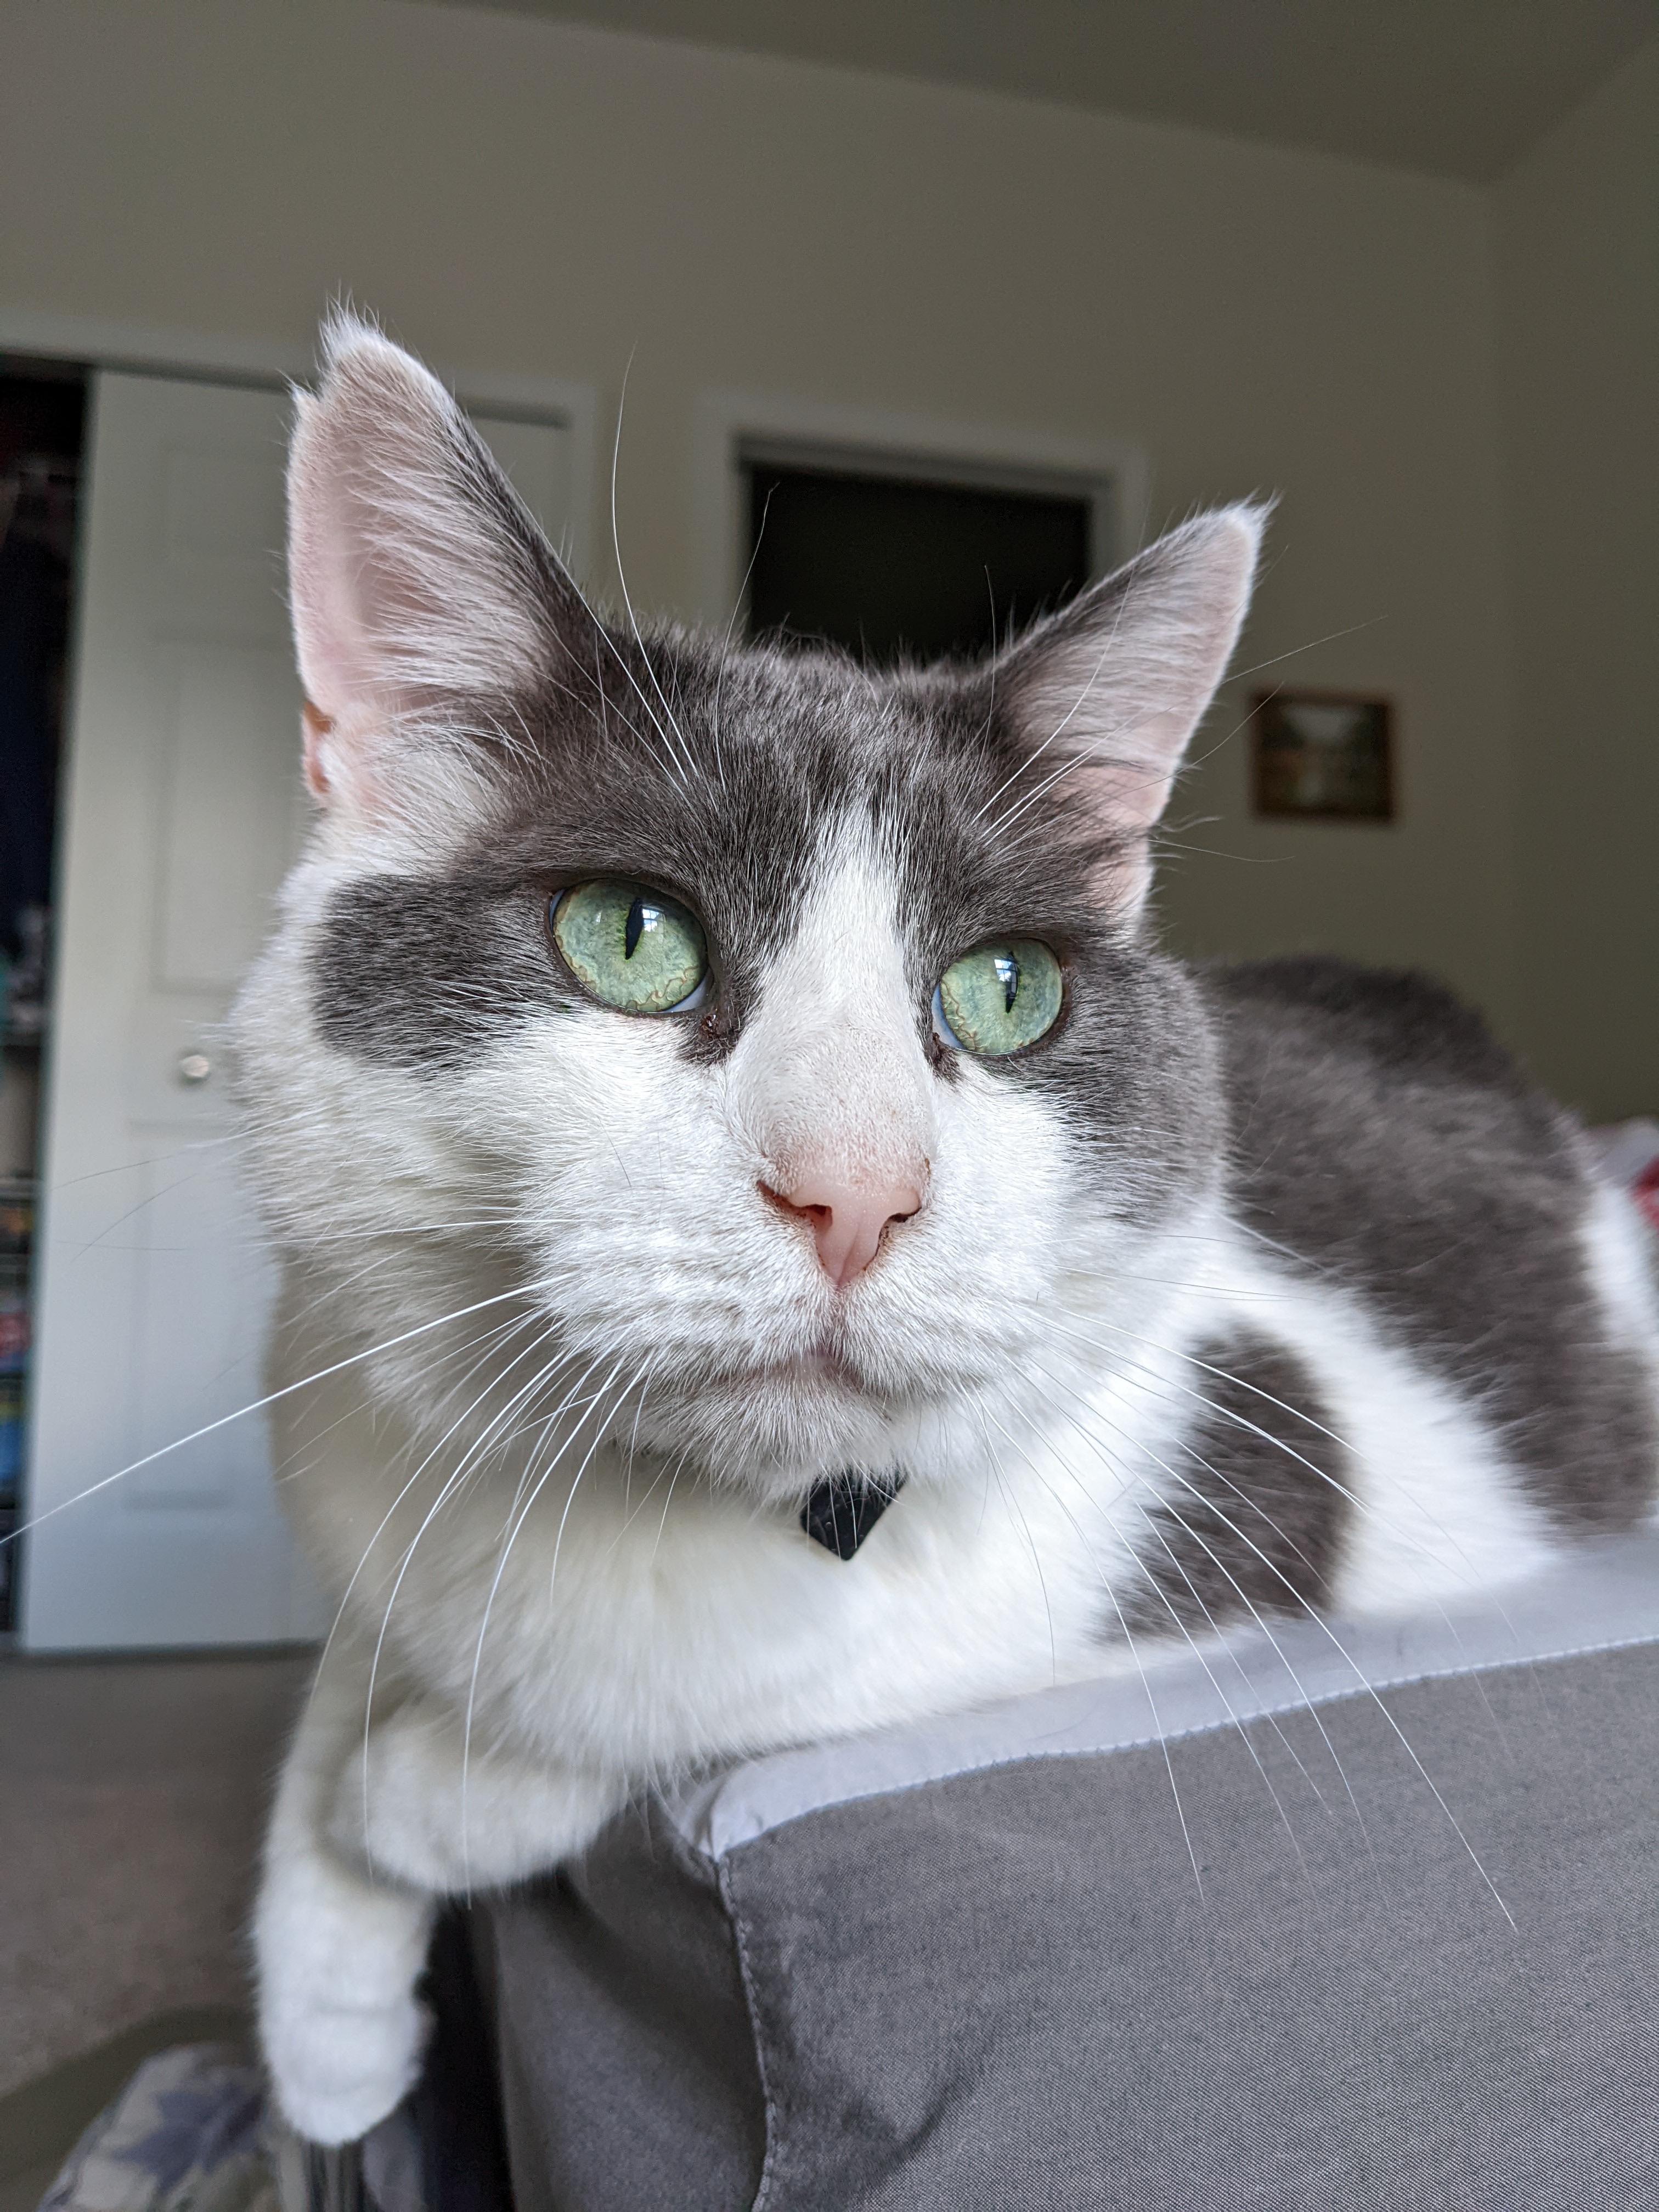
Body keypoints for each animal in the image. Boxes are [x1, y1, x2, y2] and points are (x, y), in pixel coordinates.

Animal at [236, 320, 1659, 2150]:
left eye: (1006, 991)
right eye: (627, 936)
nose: (856, 1191)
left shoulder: (1273, 1453)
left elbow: (760, 1675)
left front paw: (428, 1798)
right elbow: (354, 1654)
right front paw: (330, 2031)